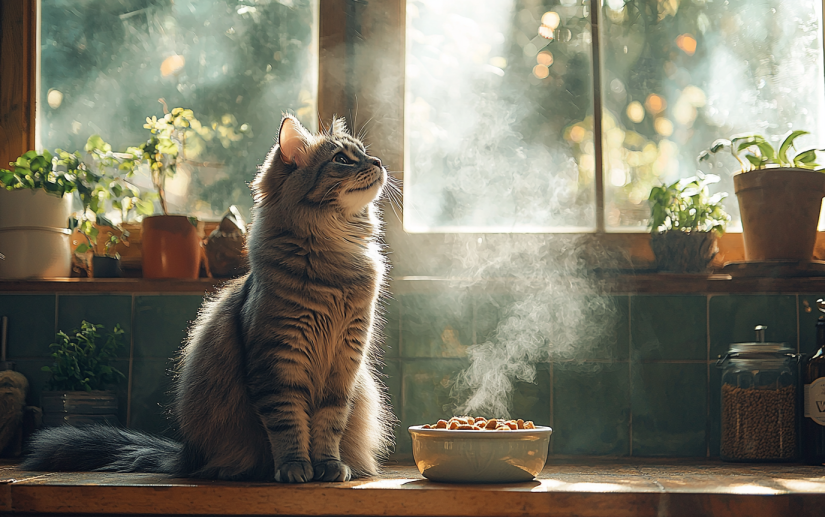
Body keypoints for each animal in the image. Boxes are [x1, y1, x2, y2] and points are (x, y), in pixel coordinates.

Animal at [19, 113, 392, 480]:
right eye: (342, 160)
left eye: (363, 153)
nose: (378, 161)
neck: (335, 261)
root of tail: (184, 455)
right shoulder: (278, 364)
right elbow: (288, 424)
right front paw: (294, 467)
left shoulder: (343, 365)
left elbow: (330, 424)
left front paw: (329, 465)